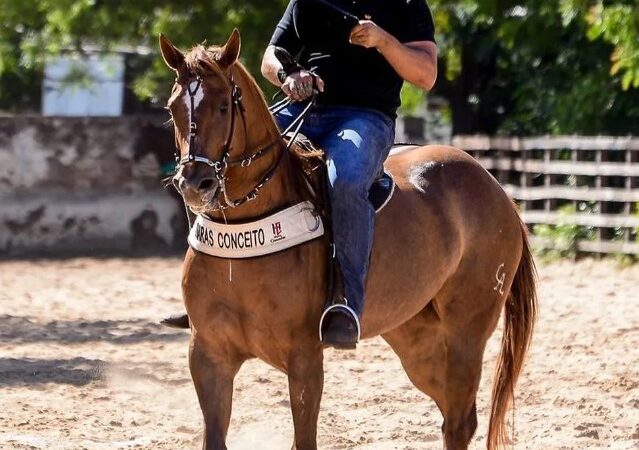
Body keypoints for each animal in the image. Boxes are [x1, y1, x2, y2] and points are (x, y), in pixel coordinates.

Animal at [159, 30, 536, 450]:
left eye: (224, 105)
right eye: (173, 109)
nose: (195, 182)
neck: (244, 236)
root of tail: (498, 191)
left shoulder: (305, 360)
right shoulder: (208, 356)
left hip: (466, 331)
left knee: (459, 422)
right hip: (418, 339)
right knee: (455, 416)